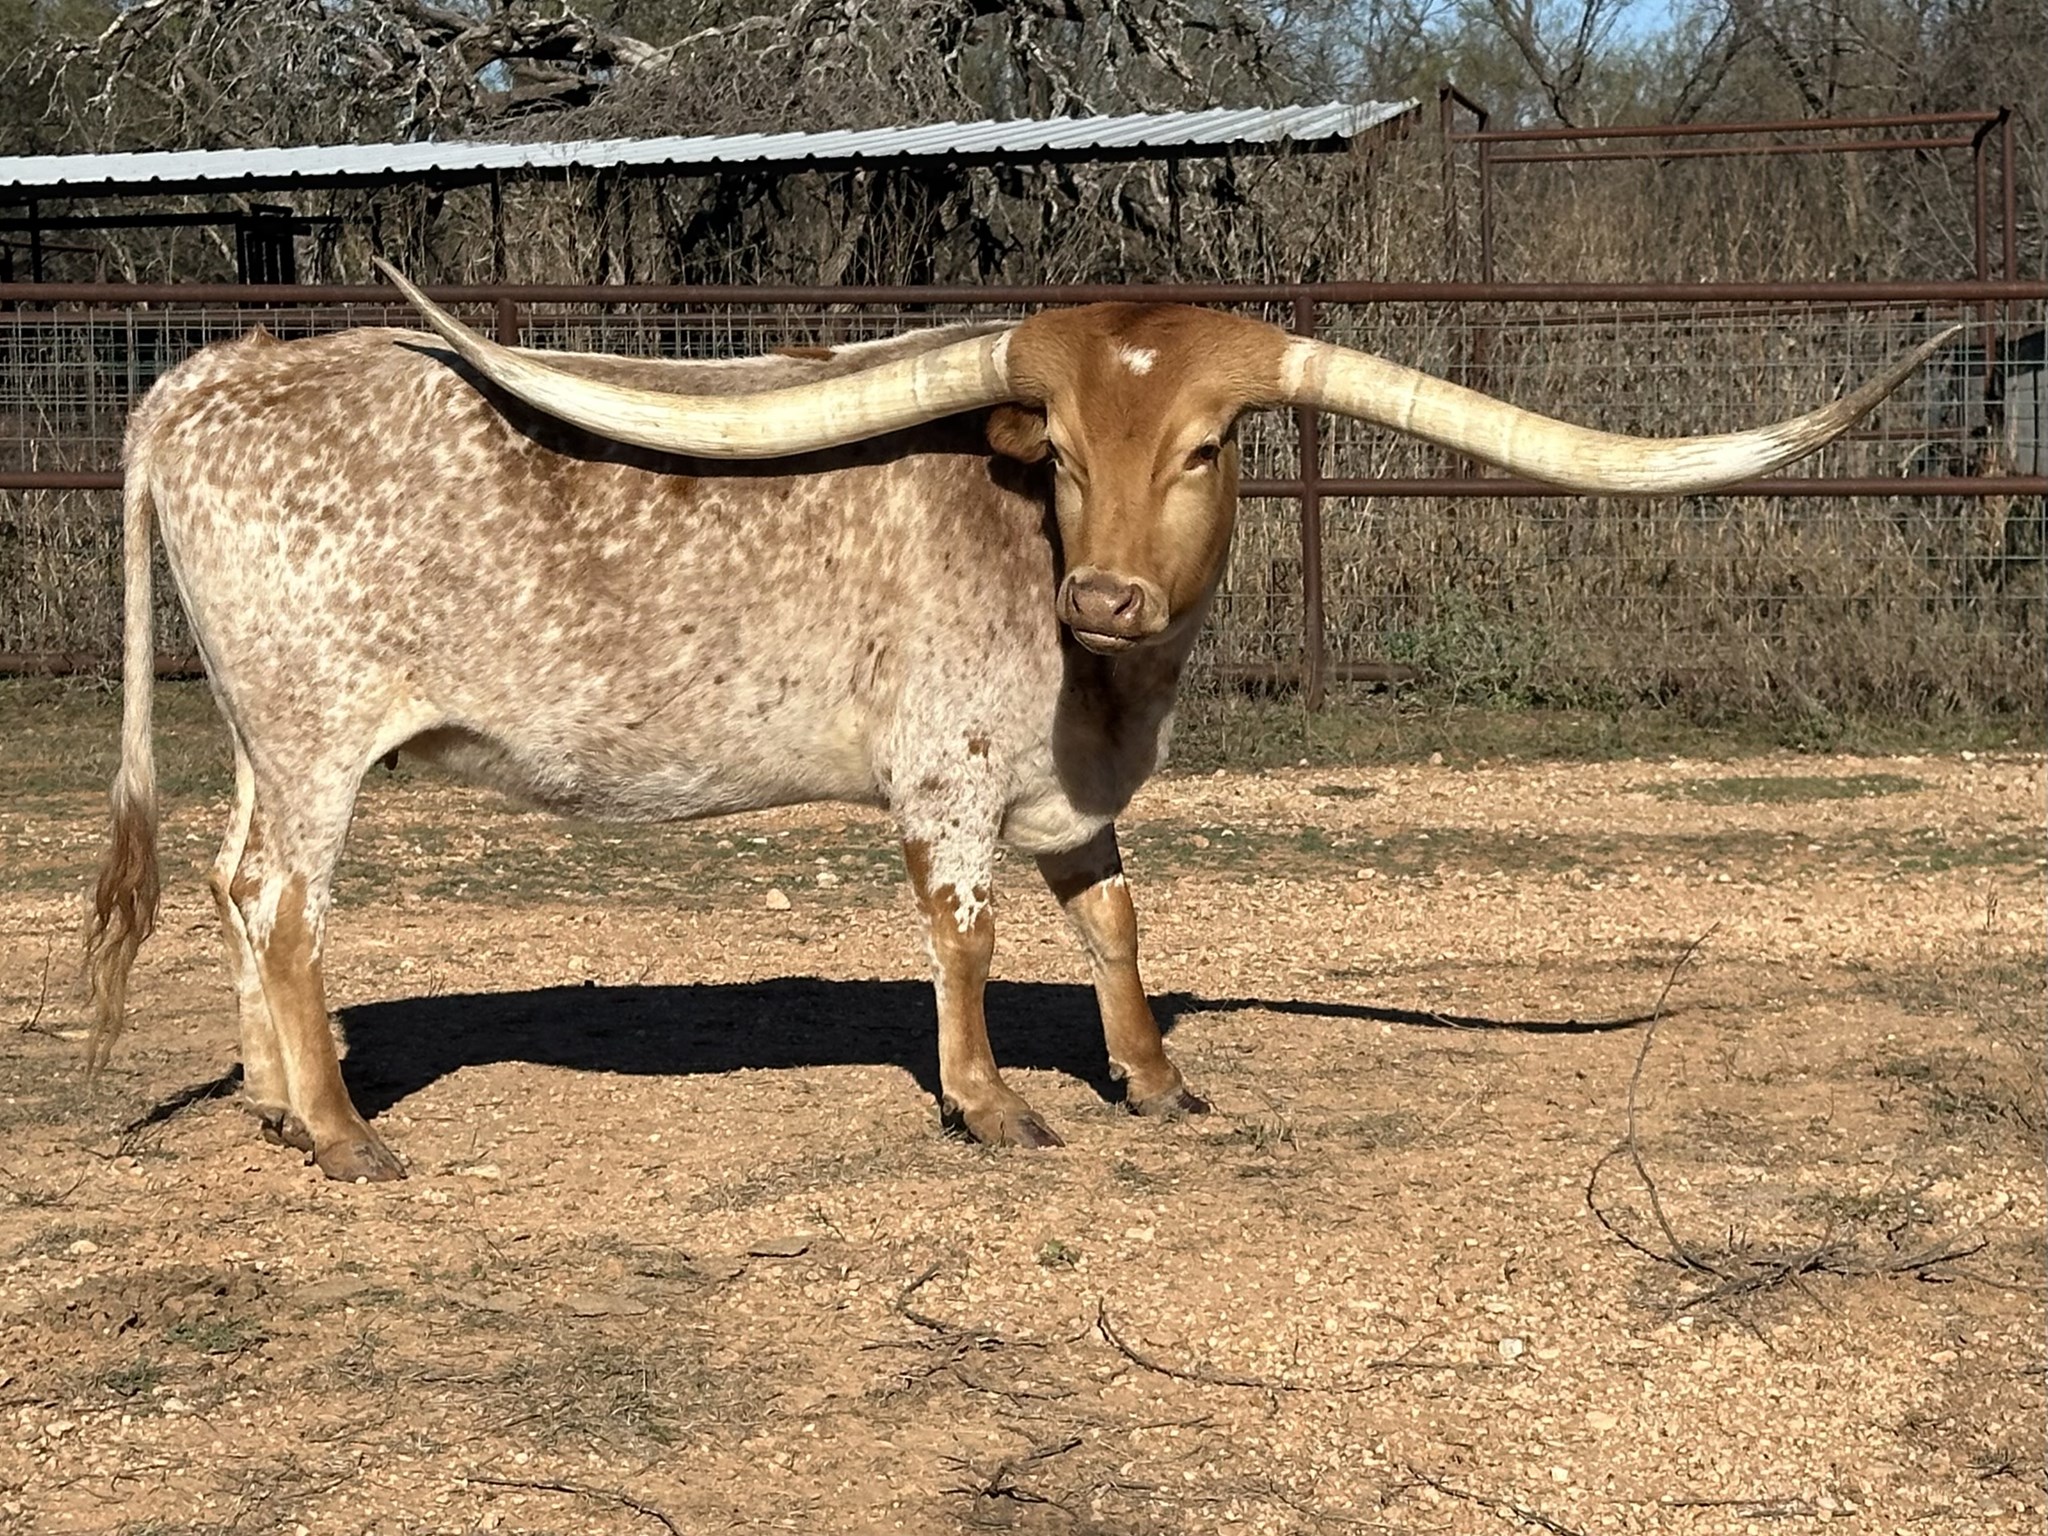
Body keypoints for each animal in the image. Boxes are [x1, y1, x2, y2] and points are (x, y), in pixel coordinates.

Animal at [84, 263, 1949, 1180]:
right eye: (1046, 445)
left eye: (1206, 445)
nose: (1106, 600)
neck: (1103, 683)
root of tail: (198, 379)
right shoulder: (952, 774)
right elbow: (966, 932)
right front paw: (990, 1103)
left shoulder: (1077, 792)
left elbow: (1115, 916)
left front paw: (1154, 1076)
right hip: (320, 729)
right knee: (286, 904)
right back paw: (339, 1133)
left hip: (266, 738)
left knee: (240, 890)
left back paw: (276, 1103)